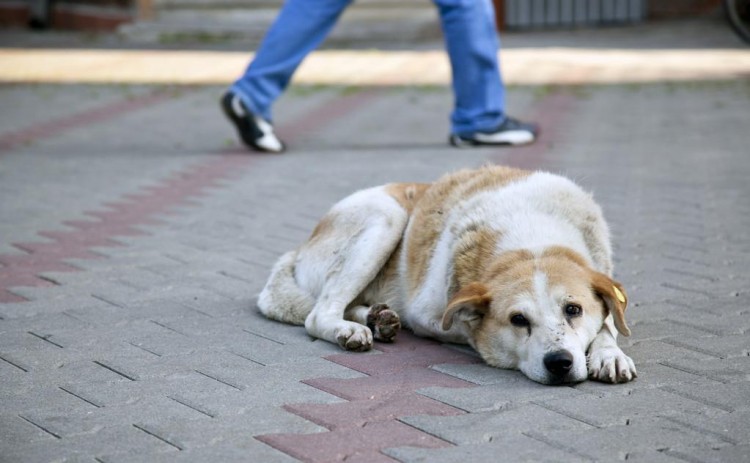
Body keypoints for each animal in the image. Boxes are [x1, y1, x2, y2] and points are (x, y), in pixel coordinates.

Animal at [258, 166, 636, 384]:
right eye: (518, 320)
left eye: (573, 310)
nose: (559, 363)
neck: (531, 238)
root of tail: (301, 246)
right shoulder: (427, 315)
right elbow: (467, 329)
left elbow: (607, 324)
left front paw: (609, 354)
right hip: (385, 216)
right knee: (319, 313)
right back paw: (350, 329)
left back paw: (377, 318)